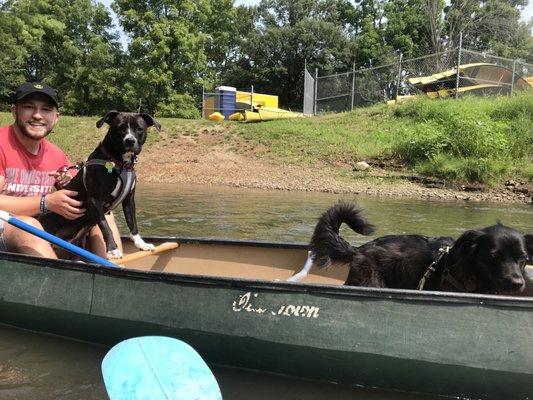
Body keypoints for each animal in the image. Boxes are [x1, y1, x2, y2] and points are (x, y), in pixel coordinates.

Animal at [39, 110, 160, 260]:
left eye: (139, 129)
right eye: (120, 129)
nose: (130, 140)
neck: (119, 163)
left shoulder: (129, 201)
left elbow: (132, 222)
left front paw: (141, 243)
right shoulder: (94, 200)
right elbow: (105, 226)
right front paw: (112, 249)